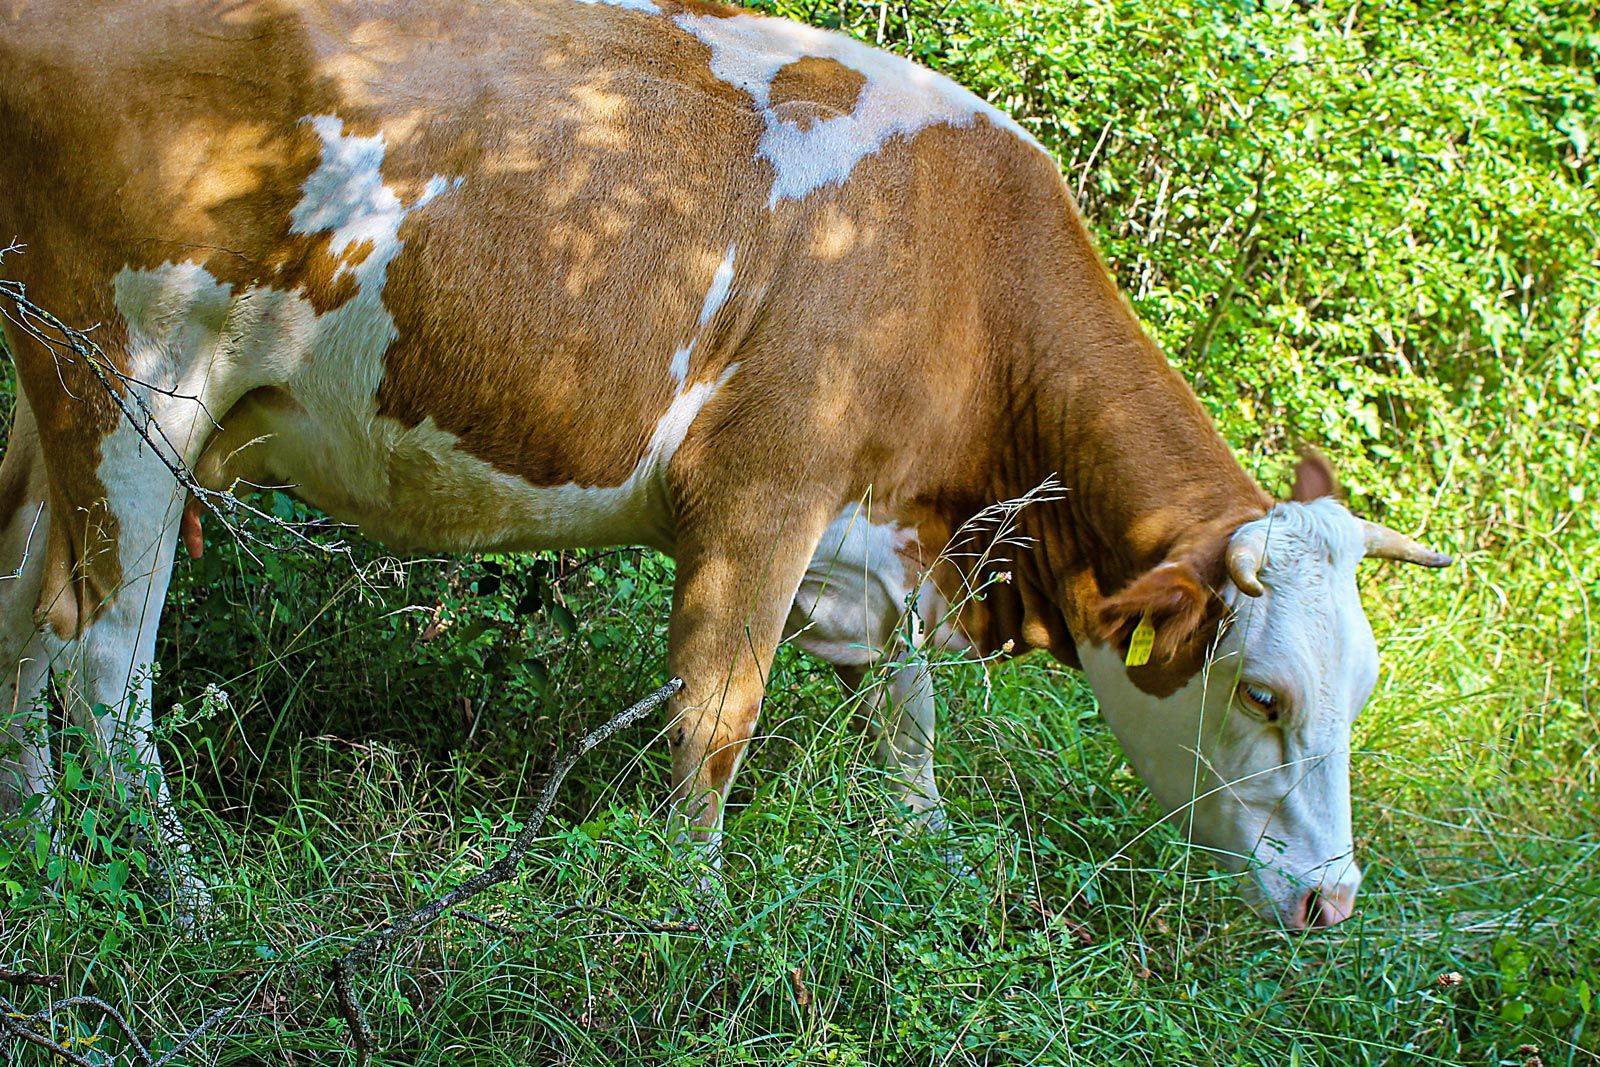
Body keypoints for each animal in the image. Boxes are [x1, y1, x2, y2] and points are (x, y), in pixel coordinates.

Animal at [0, 0, 1452, 927]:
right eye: (1263, 692)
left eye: (1362, 686)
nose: (1333, 898)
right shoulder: (761, 497)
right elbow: (719, 720)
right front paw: (689, 908)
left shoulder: (878, 540)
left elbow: (907, 720)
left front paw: (924, 853)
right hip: (136, 381)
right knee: (101, 656)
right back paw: (185, 899)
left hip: (47, 400)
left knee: (19, 613)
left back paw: (41, 861)